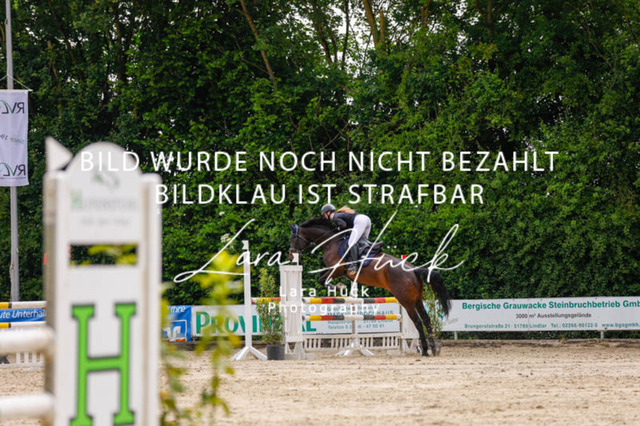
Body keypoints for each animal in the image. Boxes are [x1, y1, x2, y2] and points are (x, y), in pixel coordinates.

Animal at [288, 217, 452, 356]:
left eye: (293, 239)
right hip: (417, 299)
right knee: (426, 319)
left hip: (406, 301)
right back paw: (432, 349)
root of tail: (413, 270)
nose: (291, 256)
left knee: (417, 321)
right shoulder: (334, 270)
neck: (332, 241)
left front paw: (339, 287)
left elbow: (322, 279)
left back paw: (424, 350)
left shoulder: (337, 269)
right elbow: (322, 277)